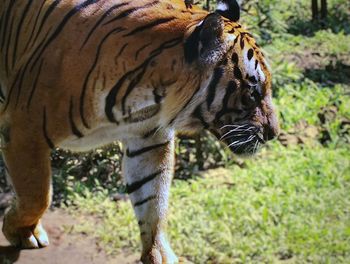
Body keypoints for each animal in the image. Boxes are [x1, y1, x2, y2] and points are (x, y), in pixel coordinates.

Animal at [0, 0, 278, 262]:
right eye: (253, 92)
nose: (274, 132)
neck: (150, 94)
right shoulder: (24, 130)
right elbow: (37, 195)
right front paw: (21, 231)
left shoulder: (149, 138)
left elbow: (153, 200)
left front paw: (160, 255)